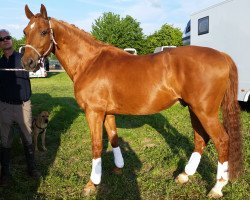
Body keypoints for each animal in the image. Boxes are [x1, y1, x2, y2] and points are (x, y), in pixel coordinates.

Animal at [21, 3, 242, 198]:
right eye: (25, 31)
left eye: (43, 32)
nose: (27, 63)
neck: (90, 62)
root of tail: (222, 55)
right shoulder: (107, 112)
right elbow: (113, 138)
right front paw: (119, 168)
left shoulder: (93, 112)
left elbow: (96, 145)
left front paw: (92, 183)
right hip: (193, 109)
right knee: (201, 139)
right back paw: (185, 175)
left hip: (205, 112)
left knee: (222, 141)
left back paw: (217, 188)